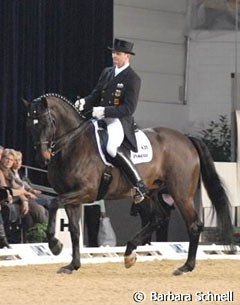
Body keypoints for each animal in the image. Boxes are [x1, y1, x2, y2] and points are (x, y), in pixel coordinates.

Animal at [23, 92, 234, 274]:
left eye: (46, 122)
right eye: (30, 125)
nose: (41, 159)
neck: (72, 145)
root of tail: (186, 138)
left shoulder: (86, 192)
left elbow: (52, 203)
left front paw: (55, 245)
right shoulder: (70, 197)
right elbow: (74, 231)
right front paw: (72, 265)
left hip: (181, 194)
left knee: (193, 224)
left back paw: (186, 267)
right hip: (152, 193)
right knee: (157, 218)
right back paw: (129, 253)